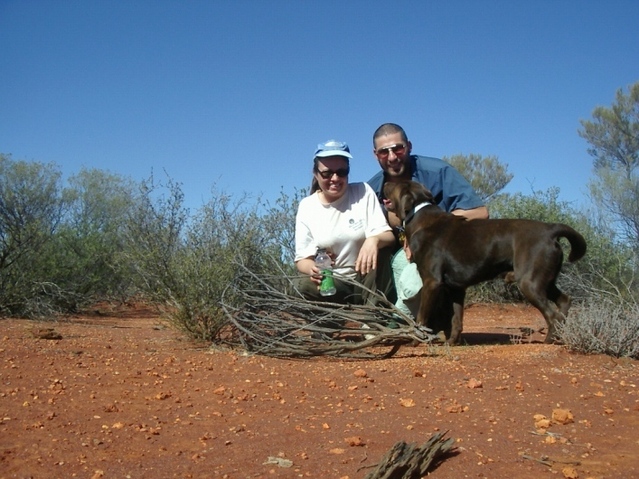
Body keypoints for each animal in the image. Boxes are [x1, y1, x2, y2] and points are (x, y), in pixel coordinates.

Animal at [382, 181, 588, 344]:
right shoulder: (456, 289)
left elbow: (422, 317)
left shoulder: (432, 283)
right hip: (544, 279)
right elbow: (456, 320)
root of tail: (550, 229)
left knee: (552, 315)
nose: (385, 183)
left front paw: (415, 340)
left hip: (530, 282)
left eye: (395, 184)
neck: (419, 214)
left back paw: (549, 341)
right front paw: (452, 342)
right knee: (564, 301)